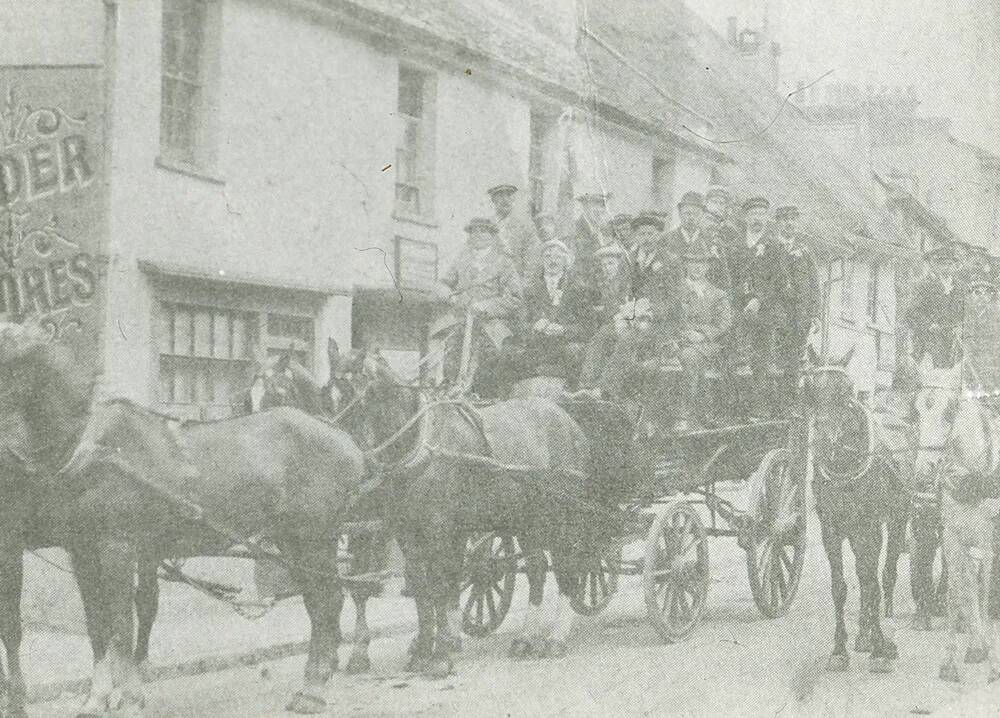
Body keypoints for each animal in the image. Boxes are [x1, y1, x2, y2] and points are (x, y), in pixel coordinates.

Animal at [0, 324, 366, 716]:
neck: (92, 443)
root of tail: (340, 435)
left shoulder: (117, 547)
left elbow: (122, 624)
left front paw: (128, 698)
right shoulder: (82, 550)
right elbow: (97, 624)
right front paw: (96, 697)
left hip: (315, 535)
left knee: (328, 600)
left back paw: (313, 689)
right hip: (292, 538)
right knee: (319, 601)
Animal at [332, 346, 636, 676]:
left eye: (369, 393)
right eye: (333, 390)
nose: (351, 463)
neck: (423, 445)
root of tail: (568, 418)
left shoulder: (439, 528)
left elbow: (439, 585)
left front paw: (440, 656)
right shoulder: (407, 531)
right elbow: (421, 587)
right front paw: (424, 650)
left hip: (561, 514)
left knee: (569, 565)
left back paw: (556, 638)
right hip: (528, 517)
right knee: (537, 569)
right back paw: (526, 639)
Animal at [804, 348, 916, 676]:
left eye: (846, 393)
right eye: (809, 391)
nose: (823, 442)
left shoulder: (870, 526)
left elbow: (871, 582)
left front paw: (881, 649)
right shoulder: (831, 529)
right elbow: (840, 586)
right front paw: (839, 649)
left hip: (896, 517)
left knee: (883, 572)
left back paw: (879, 630)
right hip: (855, 532)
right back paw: (864, 633)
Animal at [916, 360, 1000, 688]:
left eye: (951, 409)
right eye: (916, 409)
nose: (924, 471)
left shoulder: (988, 540)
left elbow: (983, 590)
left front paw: (991, 663)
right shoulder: (952, 535)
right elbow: (957, 591)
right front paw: (951, 661)